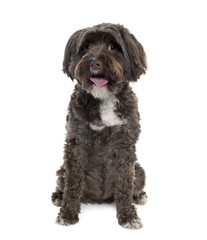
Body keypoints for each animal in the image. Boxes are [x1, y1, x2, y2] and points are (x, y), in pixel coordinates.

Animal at [52, 23, 148, 230]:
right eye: (86, 47)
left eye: (113, 47)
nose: (94, 62)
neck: (104, 98)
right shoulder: (76, 143)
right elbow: (73, 183)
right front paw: (68, 213)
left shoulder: (126, 145)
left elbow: (125, 184)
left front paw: (128, 216)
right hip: (62, 170)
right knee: (64, 183)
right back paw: (58, 197)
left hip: (139, 171)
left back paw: (139, 196)